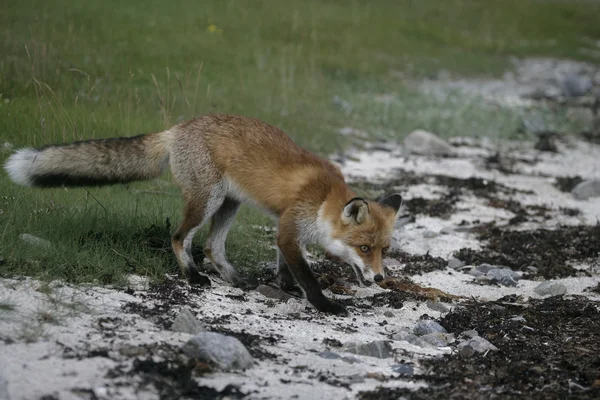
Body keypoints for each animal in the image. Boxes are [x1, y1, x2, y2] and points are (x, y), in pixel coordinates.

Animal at [4, 115, 400, 316]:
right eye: (364, 248)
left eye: (384, 251)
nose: (381, 278)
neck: (323, 198)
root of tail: (178, 127)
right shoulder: (289, 229)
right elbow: (307, 275)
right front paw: (325, 305)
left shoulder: (285, 227)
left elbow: (285, 266)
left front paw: (284, 285)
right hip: (206, 201)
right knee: (180, 238)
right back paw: (193, 276)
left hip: (228, 203)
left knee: (212, 246)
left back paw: (235, 279)